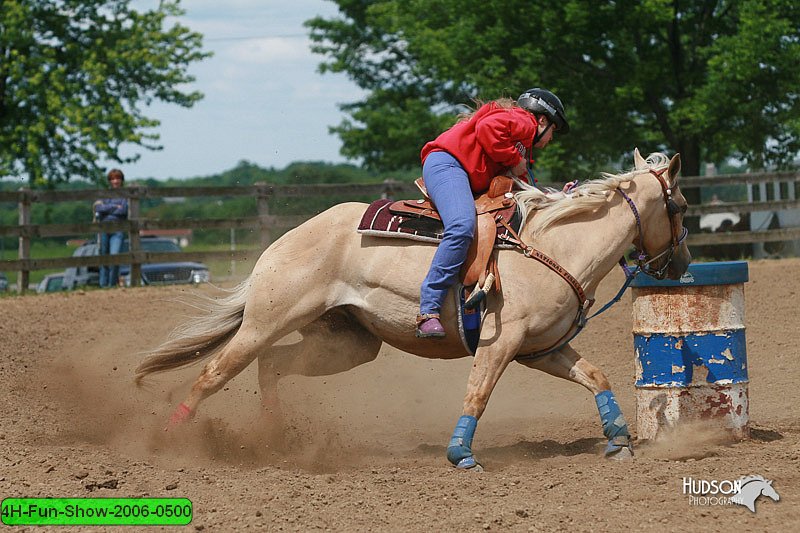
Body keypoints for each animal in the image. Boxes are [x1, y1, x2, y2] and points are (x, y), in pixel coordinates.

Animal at [134, 148, 692, 468]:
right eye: (682, 206)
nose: (681, 263)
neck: (553, 246)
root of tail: (285, 240)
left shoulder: (542, 350)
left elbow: (596, 376)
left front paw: (618, 439)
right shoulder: (502, 343)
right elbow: (477, 395)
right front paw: (460, 454)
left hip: (347, 342)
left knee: (272, 364)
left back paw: (273, 436)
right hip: (266, 321)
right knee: (214, 373)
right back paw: (166, 438)